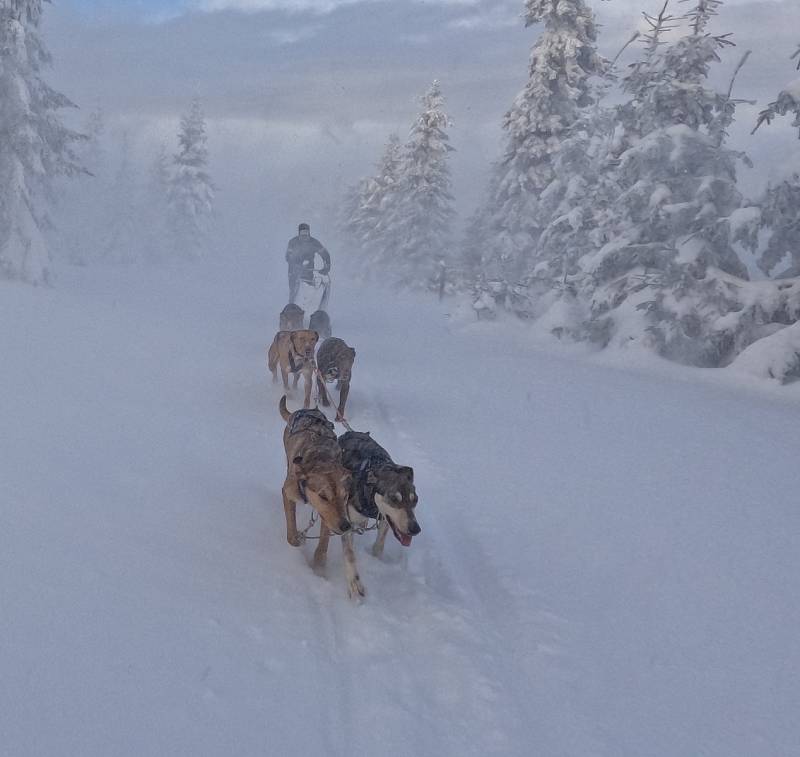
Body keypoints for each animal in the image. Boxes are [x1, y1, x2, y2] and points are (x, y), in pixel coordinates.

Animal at [336, 428, 418, 560]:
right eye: (394, 498)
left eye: (415, 500)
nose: (416, 529)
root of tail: (351, 432)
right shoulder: (348, 522)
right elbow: (349, 552)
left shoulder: (386, 519)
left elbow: (379, 546)